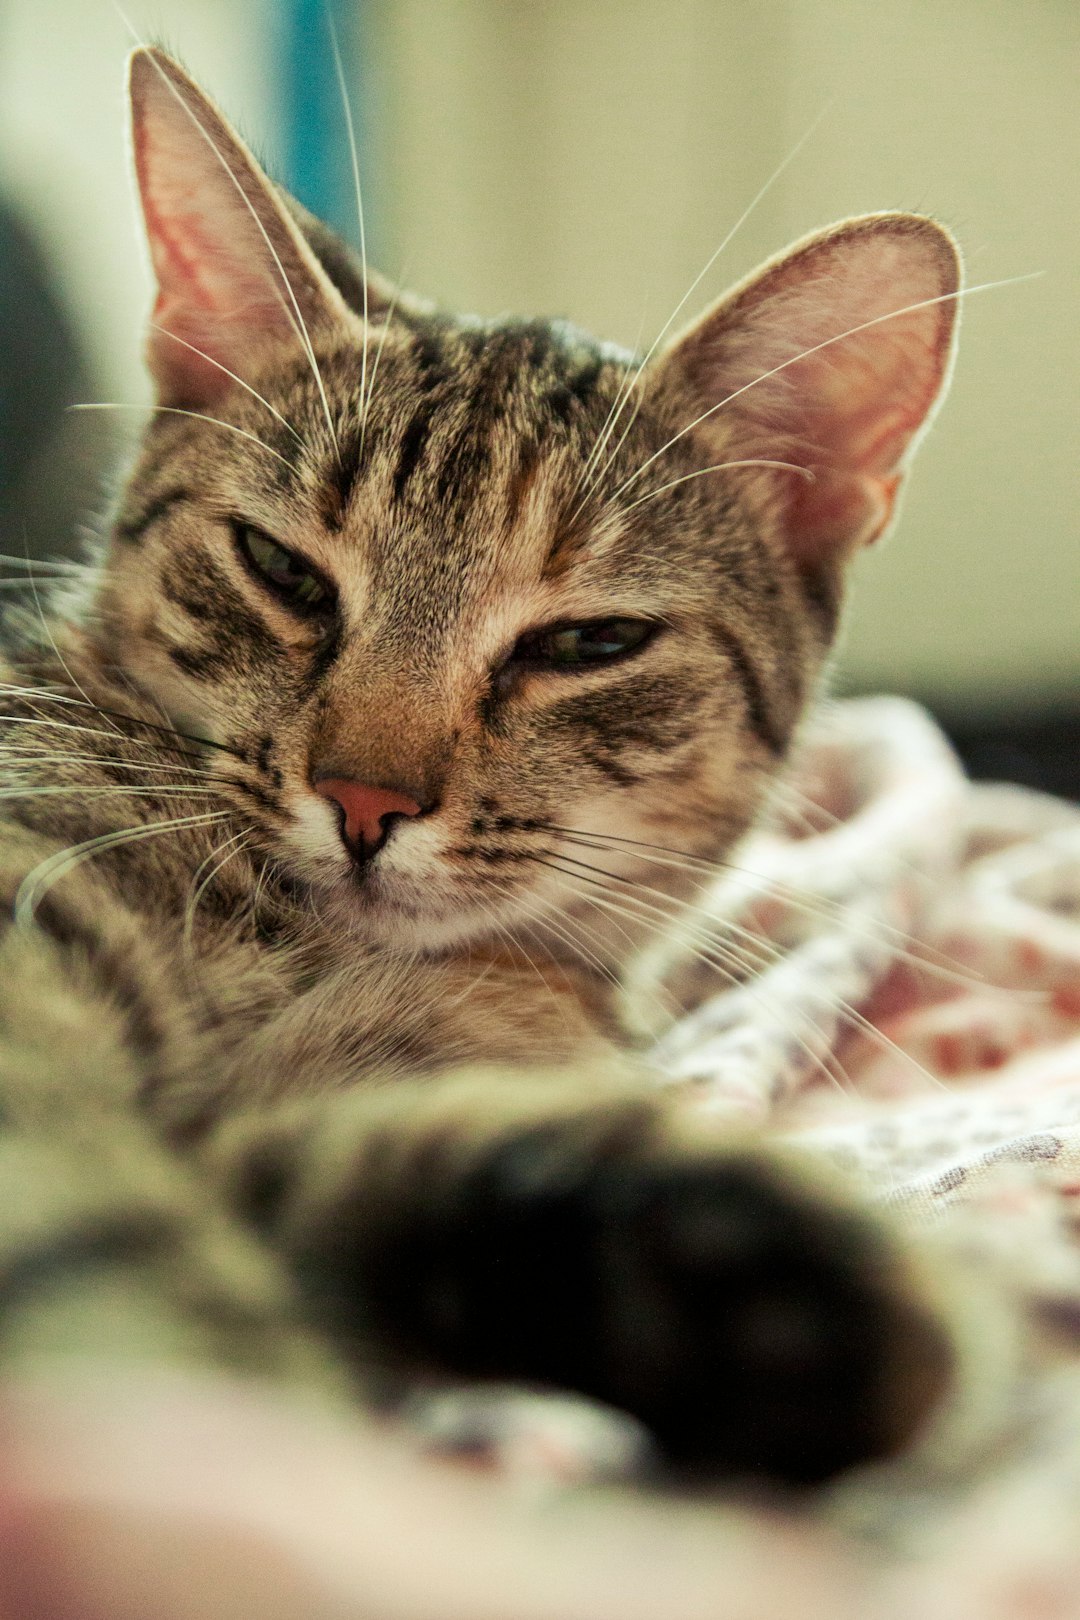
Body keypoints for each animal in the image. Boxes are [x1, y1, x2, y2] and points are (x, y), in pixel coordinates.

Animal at [0, 44, 965, 1483]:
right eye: (281, 569)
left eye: (589, 642)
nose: (364, 801)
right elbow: (107, 1253)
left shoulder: (332, 1112)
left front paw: (745, 1285)